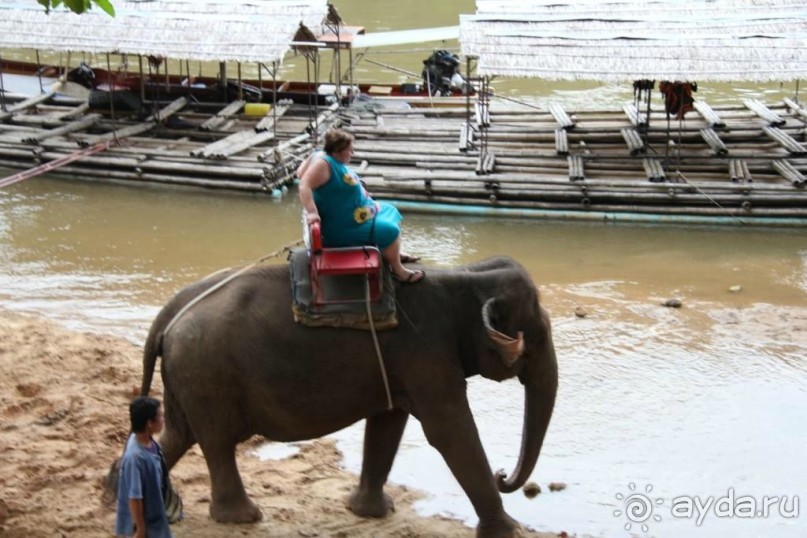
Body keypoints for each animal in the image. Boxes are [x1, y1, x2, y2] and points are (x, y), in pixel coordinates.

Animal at [136, 255, 560, 536]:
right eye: (537, 338)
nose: (503, 474)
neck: (466, 275)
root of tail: (169, 314)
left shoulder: (400, 362)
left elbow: (388, 423)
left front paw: (370, 512)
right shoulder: (426, 355)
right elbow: (449, 431)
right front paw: (511, 530)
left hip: (190, 378)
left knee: (177, 436)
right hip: (207, 376)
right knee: (217, 443)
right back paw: (243, 518)